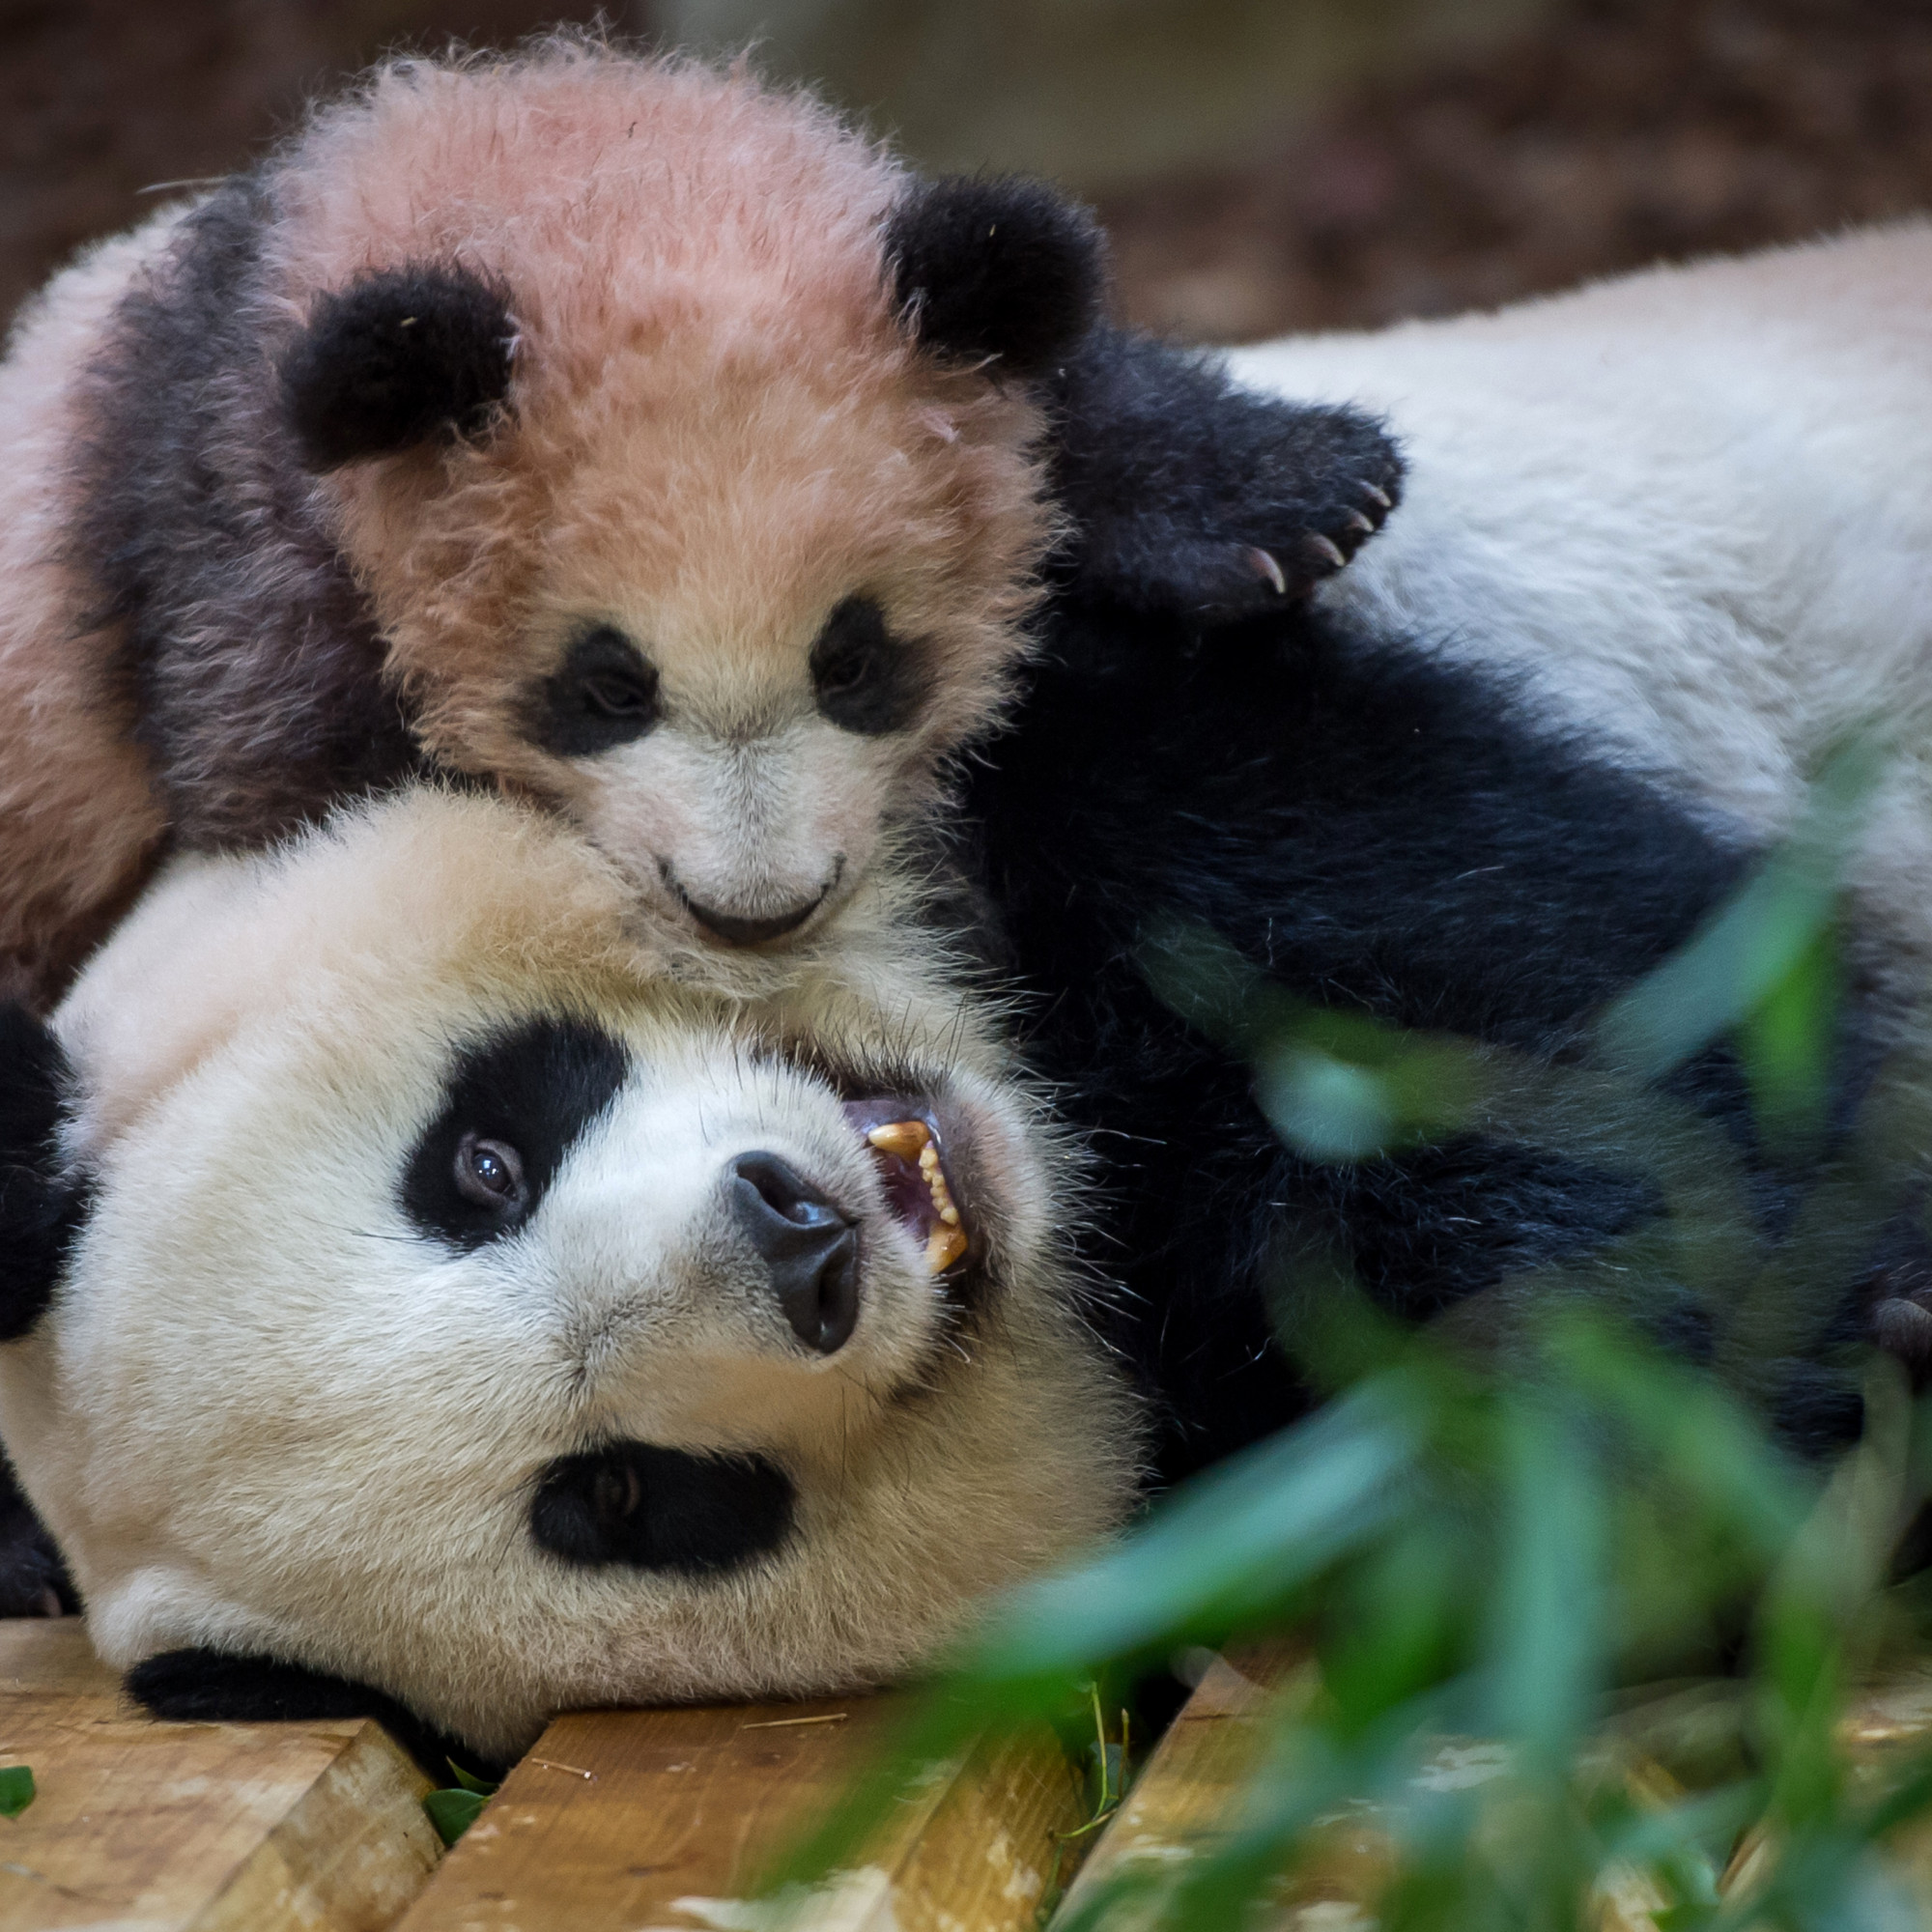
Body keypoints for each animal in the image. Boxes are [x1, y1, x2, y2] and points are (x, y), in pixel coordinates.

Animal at [0, 32, 1398, 1010]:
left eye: (854, 660)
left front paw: (1292, 498)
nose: (754, 912)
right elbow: (290, 789)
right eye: (607, 687)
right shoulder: (229, 519)